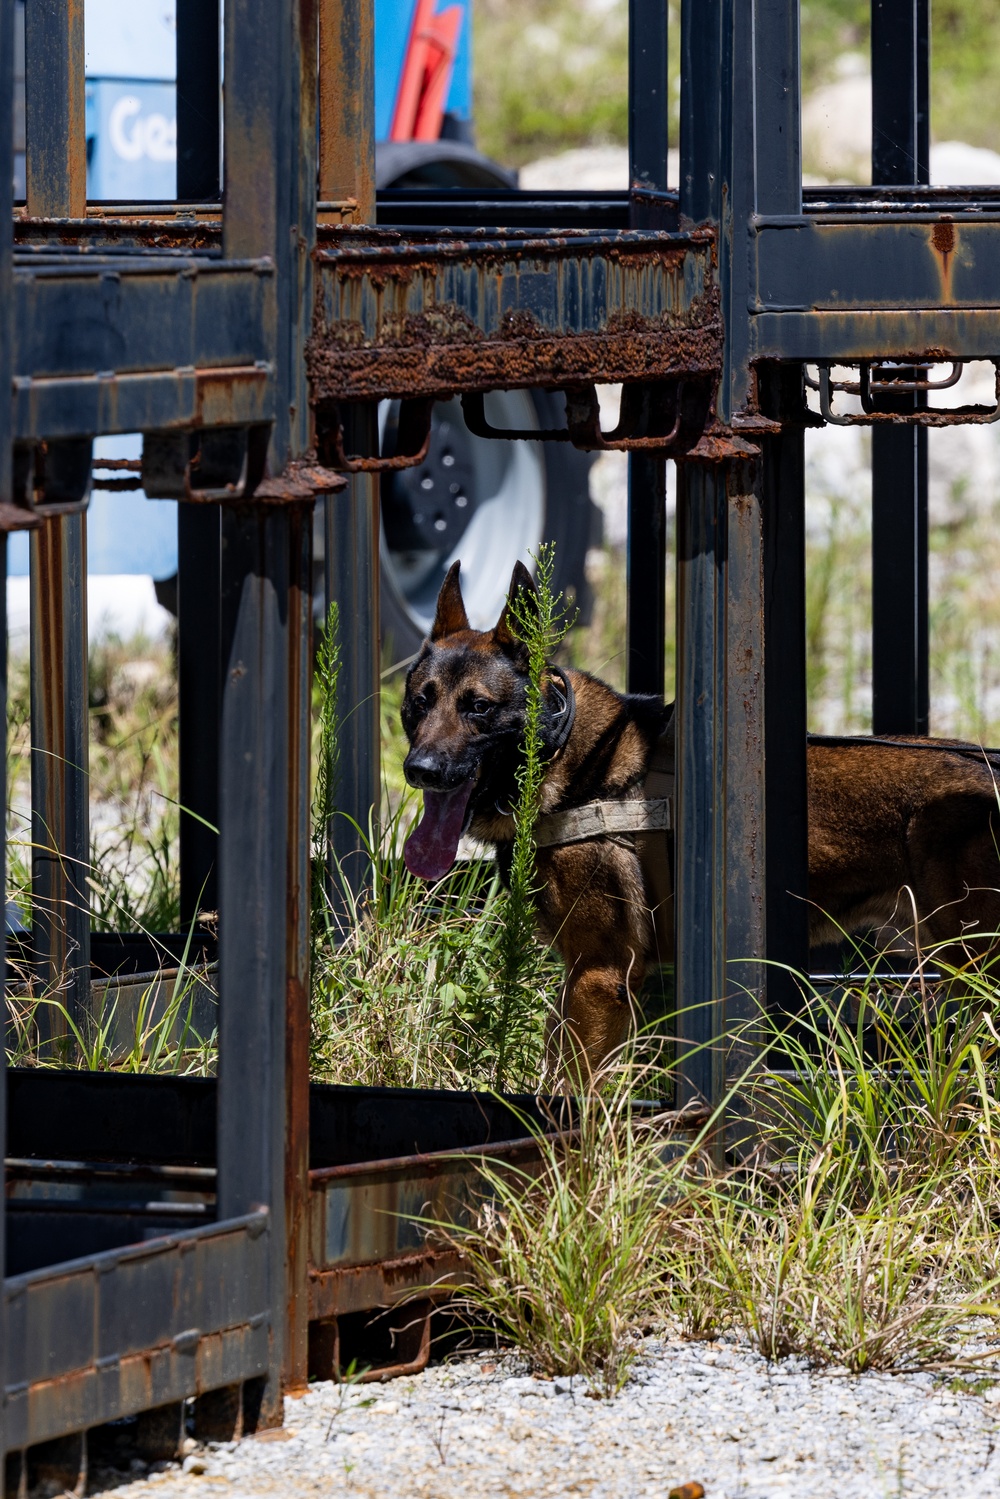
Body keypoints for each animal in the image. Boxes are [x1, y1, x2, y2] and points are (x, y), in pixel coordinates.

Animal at [401, 557, 1000, 1073]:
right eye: (419, 703)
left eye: (478, 707)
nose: (419, 769)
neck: (565, 756)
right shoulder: (589, 980)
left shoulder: (601, 975)